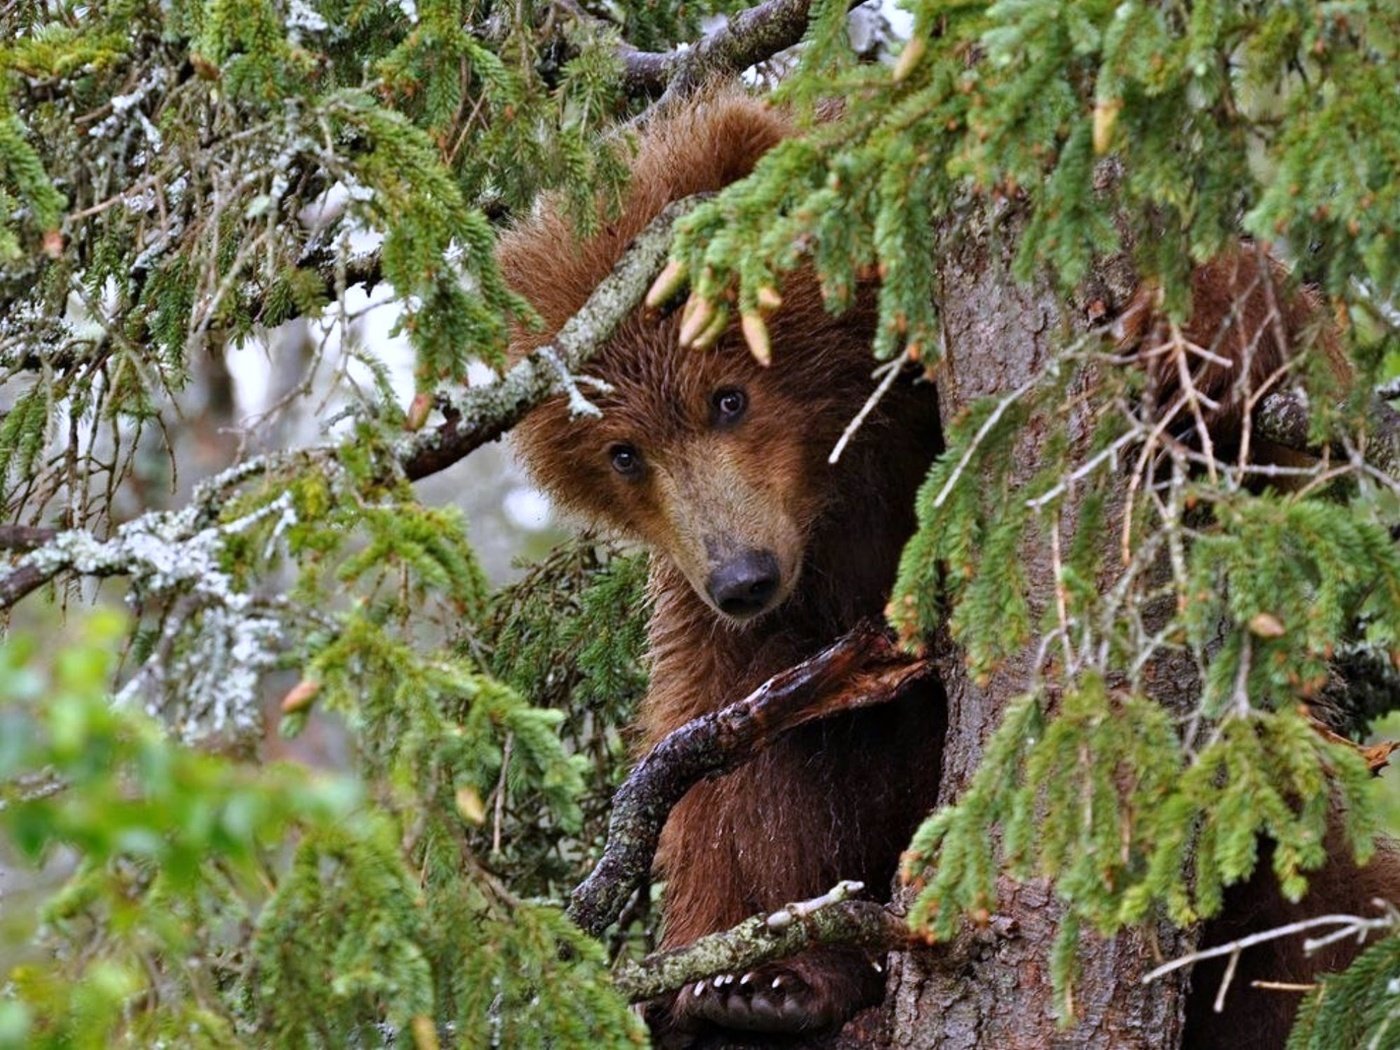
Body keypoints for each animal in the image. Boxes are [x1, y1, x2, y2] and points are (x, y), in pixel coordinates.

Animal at [501, 88, 1388, 1047]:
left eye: (727, 396)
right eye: (623, 454)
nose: (744, 576)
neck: (845, 473)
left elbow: (1276, 410)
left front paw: (1178, 332)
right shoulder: (746, 612)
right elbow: (725, 767)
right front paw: (744, 973)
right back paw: (778, 988)